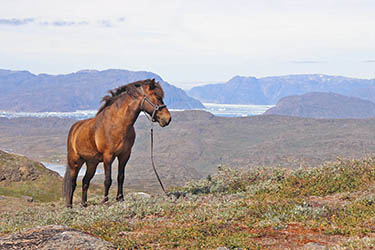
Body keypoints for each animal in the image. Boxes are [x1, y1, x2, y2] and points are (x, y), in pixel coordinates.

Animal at [63, 79, 172, 208]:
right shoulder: (108, 157)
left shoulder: (124, 155)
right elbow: (107, 180)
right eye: (157, 97)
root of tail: (75, 128)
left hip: (91, 163)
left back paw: (84, 204)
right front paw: (105, 200)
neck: (118, 123)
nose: (167, 118)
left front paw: (120, 198)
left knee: (85, 181)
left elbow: (121, 177)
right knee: (72, 183)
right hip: (75, 162)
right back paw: (69, 206)